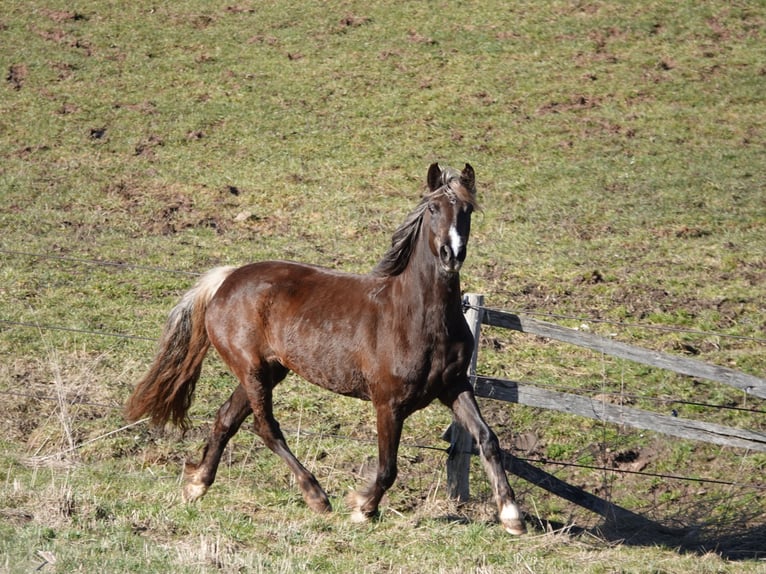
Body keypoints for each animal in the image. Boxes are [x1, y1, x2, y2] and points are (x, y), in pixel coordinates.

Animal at [125, 163, 526, 535]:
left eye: (467, 210)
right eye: (433, 208)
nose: (451, 254)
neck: (416, 317)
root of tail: (227, 279)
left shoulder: (455, 386)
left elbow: (488, 439)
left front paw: (512, 517)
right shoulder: (388, 403)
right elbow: (388, 466)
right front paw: (362, 508)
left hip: (267, 370)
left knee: (227, 418)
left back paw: (197, 485)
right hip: (251, 369)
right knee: (265, 426)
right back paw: (316, 496)